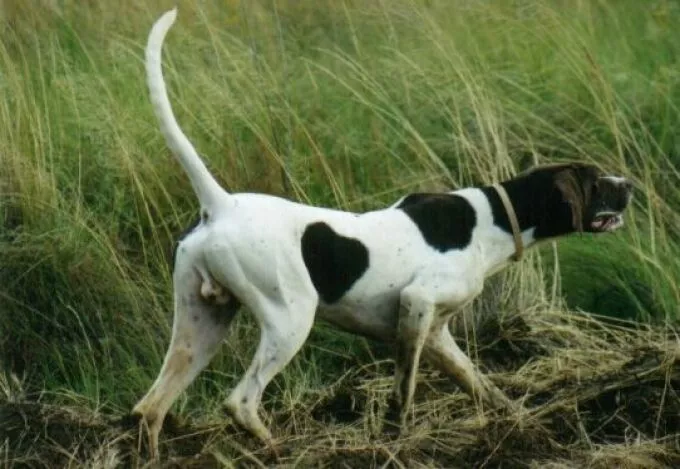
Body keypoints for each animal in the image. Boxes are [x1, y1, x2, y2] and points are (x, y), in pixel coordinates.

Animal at [133, 7, 632, 458]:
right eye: (596, 181)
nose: (628, 185)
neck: (491, 217)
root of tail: (222, 205)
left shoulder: (436, 333)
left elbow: (480, 384)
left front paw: (521, 423)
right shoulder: (417, 304)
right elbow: (404, 392)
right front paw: (399, 439)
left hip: (201, 327)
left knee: (150, 409)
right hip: (289, 319)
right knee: (240, 402)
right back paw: (279, 450)